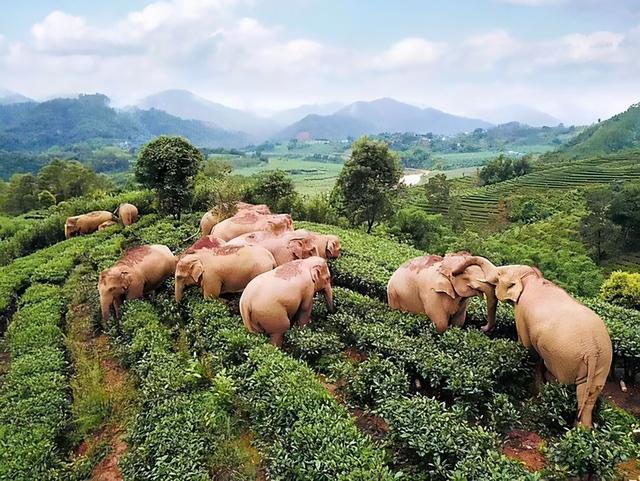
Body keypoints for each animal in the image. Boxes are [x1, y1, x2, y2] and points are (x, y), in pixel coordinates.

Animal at [482, 264, 612, 426]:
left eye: (499, 274)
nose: (482, 328)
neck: (532, 276)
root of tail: (592, 349)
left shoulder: (521, 313)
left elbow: (527, 348)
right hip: (602, 363)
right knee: (587, 394)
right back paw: (581, 430)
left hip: (564, 359)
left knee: (563, 383)